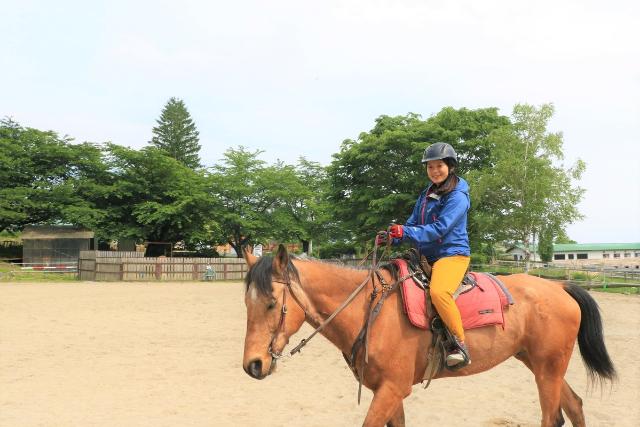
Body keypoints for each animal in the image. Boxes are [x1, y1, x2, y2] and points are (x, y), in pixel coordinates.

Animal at [241, 244, 617, 427]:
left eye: (272, 303)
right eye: (247, 302)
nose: (252, 365)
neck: (369, 312)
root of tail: (560, 287)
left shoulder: (392, 390)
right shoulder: (387, 391)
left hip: (548, 368)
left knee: (553, 417)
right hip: (540, 365)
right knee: (575, 407)